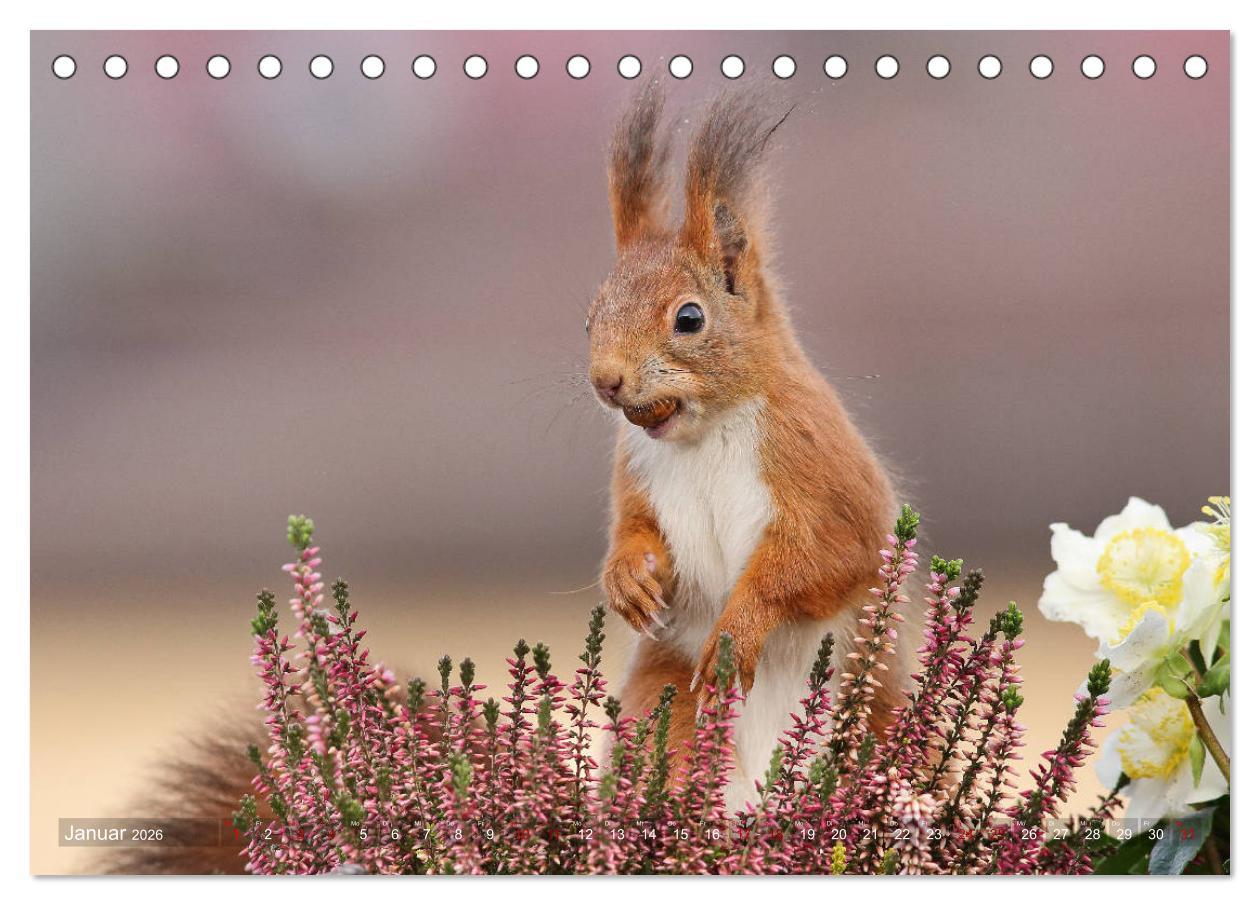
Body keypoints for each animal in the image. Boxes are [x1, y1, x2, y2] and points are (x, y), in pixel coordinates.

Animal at [588, 83, 902, 808]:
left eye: (689, 317)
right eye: (589, 315)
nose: (605, 379)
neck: (705, 430)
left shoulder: (818, 460)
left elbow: (826, 555)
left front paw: (738, 629)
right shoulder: (635, 470)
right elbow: (634, 528)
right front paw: (628, 578)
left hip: (873, 719)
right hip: (664, 697)